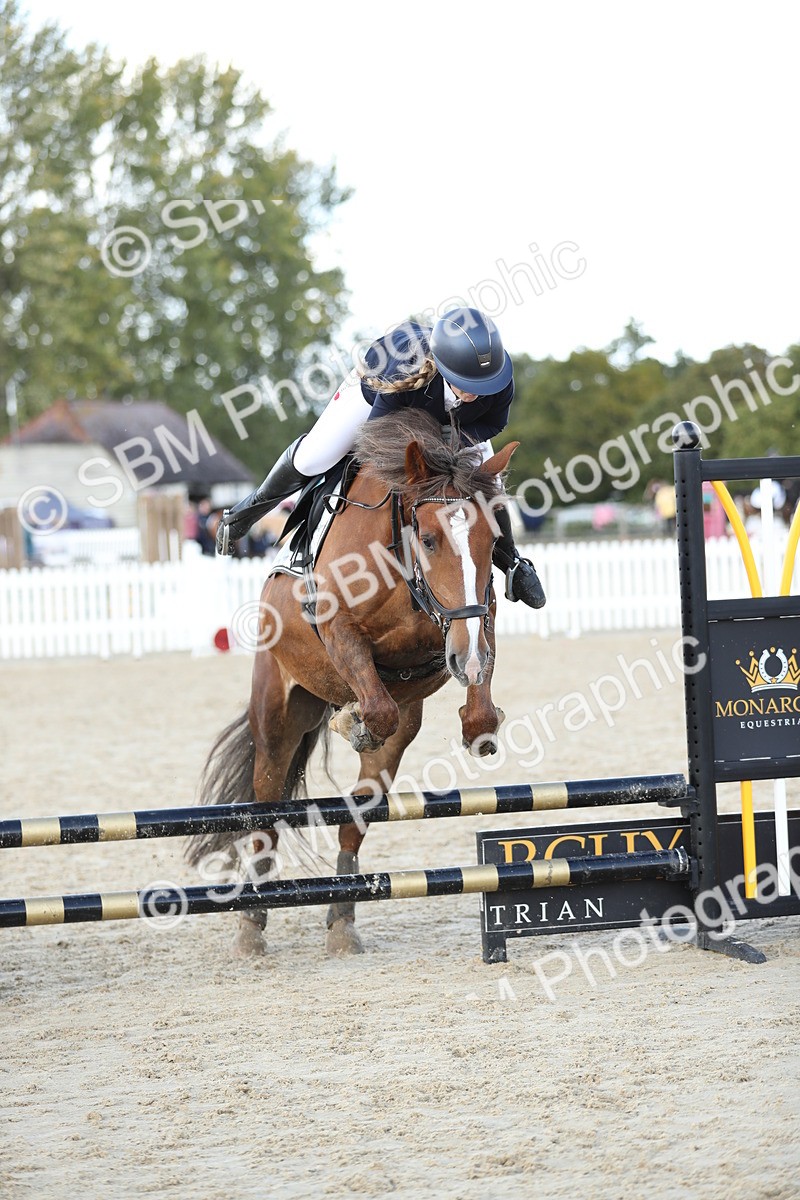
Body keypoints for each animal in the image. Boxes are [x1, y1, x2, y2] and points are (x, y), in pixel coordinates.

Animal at [187, 411, 519, 957]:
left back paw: (342, 919)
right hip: (277, 719)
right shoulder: (339, 629)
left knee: (355, 818)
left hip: (394, 743)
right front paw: (353, 722)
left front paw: (478, 725)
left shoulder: (475, 619)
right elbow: (372, 699)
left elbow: (479, 696)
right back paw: (252, 921)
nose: (465, 661)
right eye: (430, 539)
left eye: (493, 541)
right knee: (265, 815)